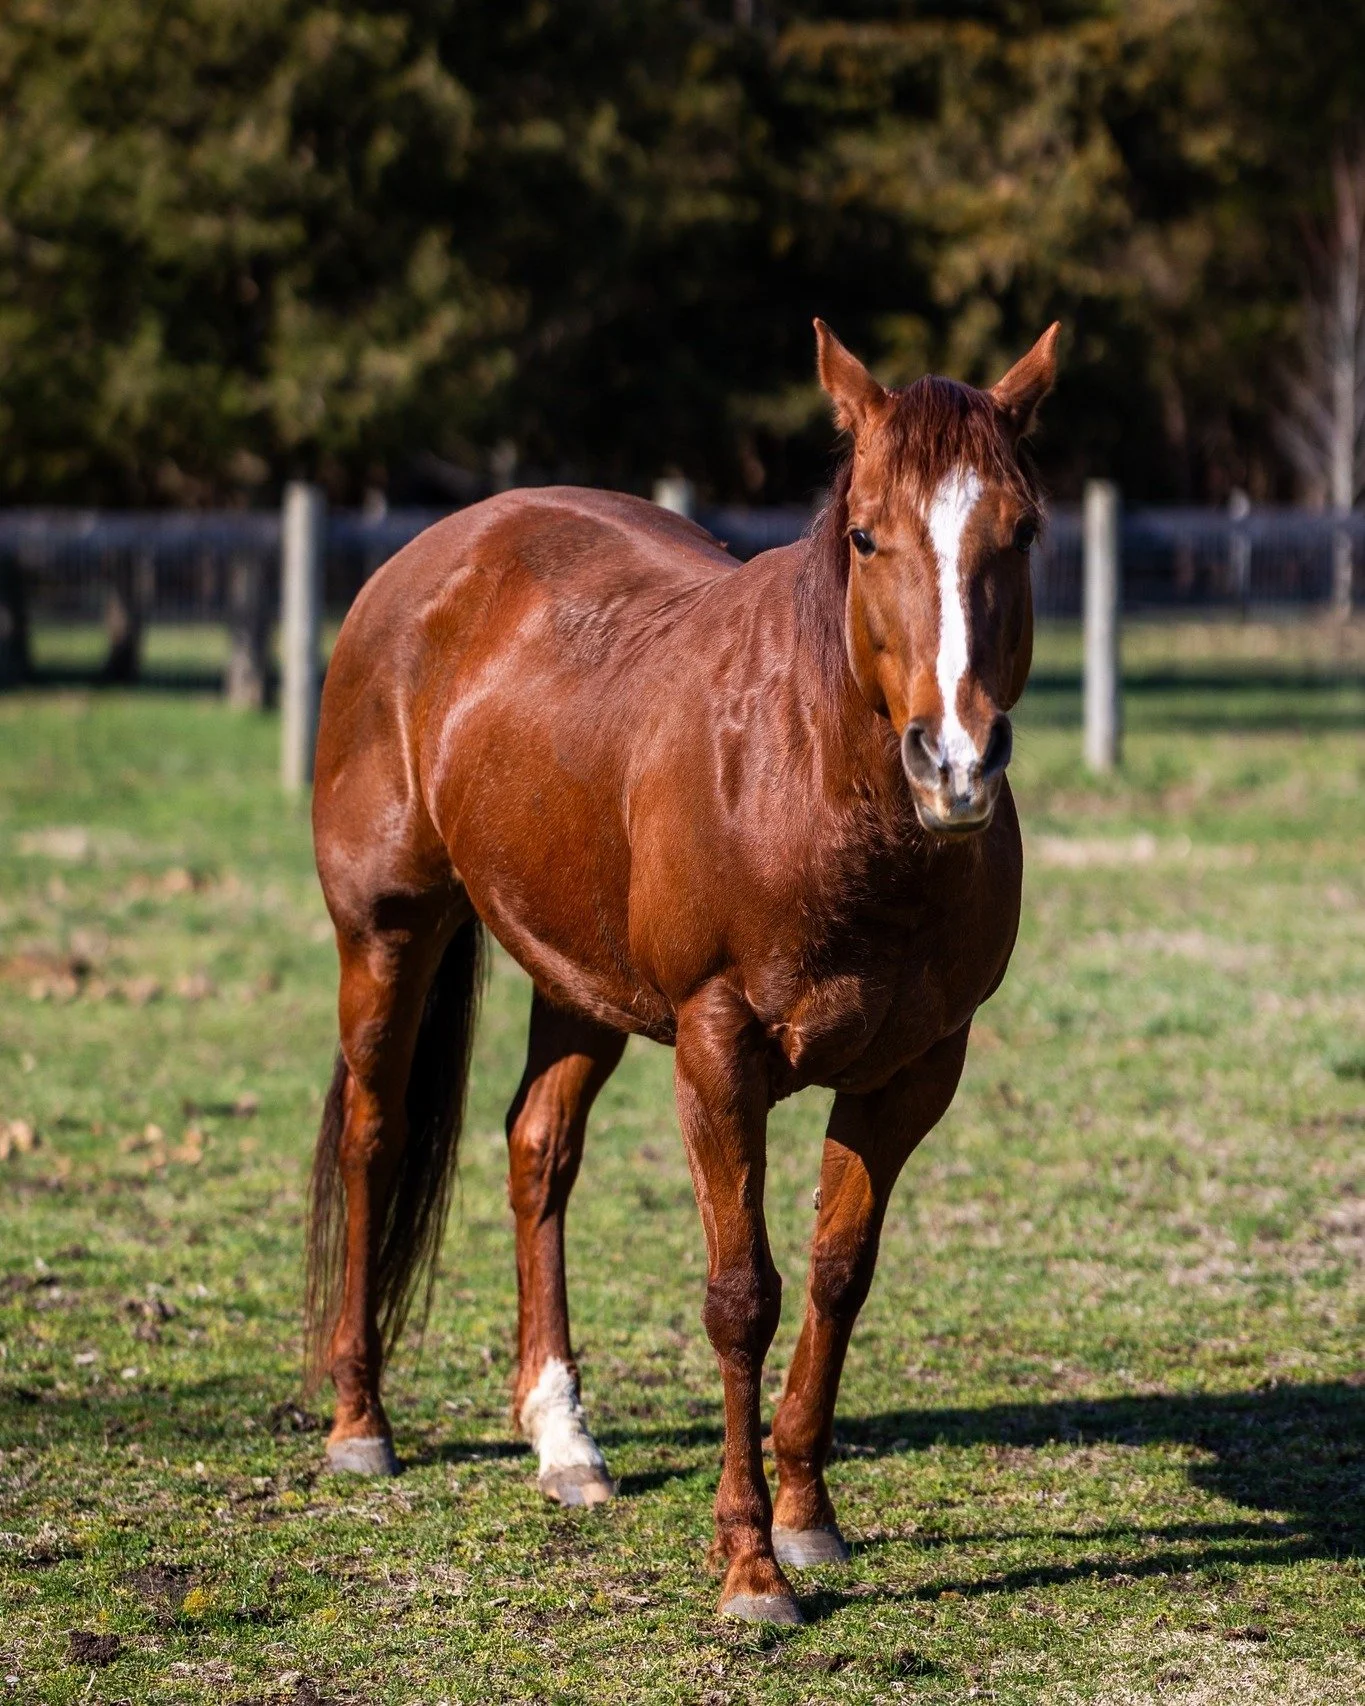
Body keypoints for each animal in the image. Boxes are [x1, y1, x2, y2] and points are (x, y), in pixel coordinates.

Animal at [305, 318, 1059, 1625]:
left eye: (1020, 531)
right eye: (868, 534)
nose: (955, 762)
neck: (815, 781)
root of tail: (432, 556)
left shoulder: (915, 1069)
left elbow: (839, 1275)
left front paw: (808, 1515)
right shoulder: (719, 1048)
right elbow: (740, 1292)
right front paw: (751, 1562)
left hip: (577, 978)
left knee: (537, 1147)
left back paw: (562, 1437)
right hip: (389, 931)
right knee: (374, 1130)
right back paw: (362, 1421)